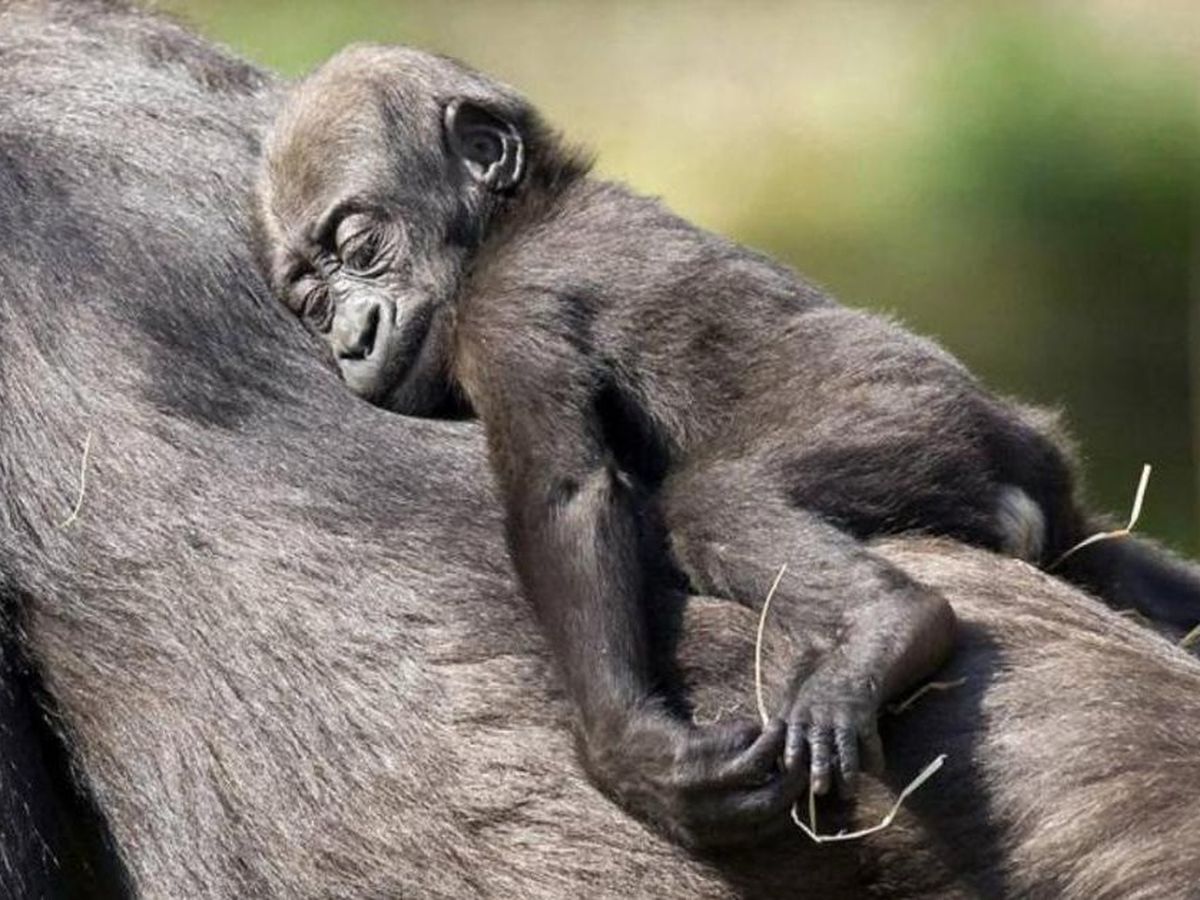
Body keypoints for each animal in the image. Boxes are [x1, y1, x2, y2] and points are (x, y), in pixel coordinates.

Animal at [2, 1, 1200, 900]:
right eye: (309, 294)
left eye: (359, 246)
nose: (348, 338)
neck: (520, 218)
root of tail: (1021, 451)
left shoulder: (510, 316)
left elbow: (567, 494)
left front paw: (628, 747)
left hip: (904, 423)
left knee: (718, 507)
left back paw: (889, 630)